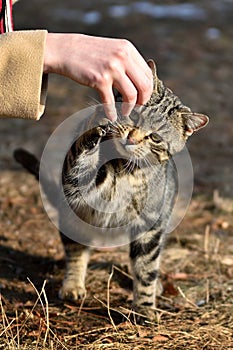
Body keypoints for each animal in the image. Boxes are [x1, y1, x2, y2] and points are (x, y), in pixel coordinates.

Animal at [13, 59, 208, 322]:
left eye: (155, 137)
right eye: (134, 114)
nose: (132, 139)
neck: (124, 170)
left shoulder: (150, 226)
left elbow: (145, 269)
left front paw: (144, 307)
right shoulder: (76, 185)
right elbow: (82, 154)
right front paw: (97, 129)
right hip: (75, 219)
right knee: (76, 252)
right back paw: (73, 286)